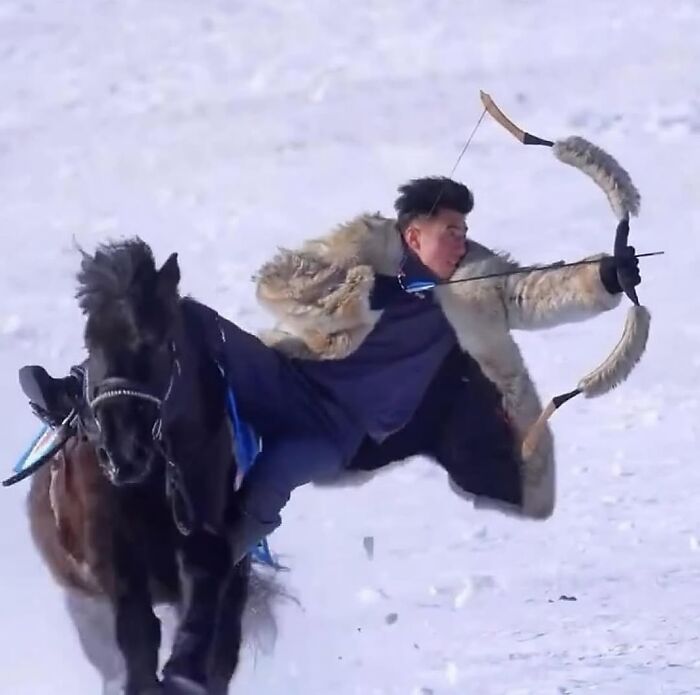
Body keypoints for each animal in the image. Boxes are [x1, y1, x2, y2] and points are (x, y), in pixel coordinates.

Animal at [25, 238, 278, 695]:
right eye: (92, 344)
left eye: (161, 344)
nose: (123, 453)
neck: (154, 485)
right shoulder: (112, 557)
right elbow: (138, 631)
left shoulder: (209, 538)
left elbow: (204, 592)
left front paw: (184, 673)